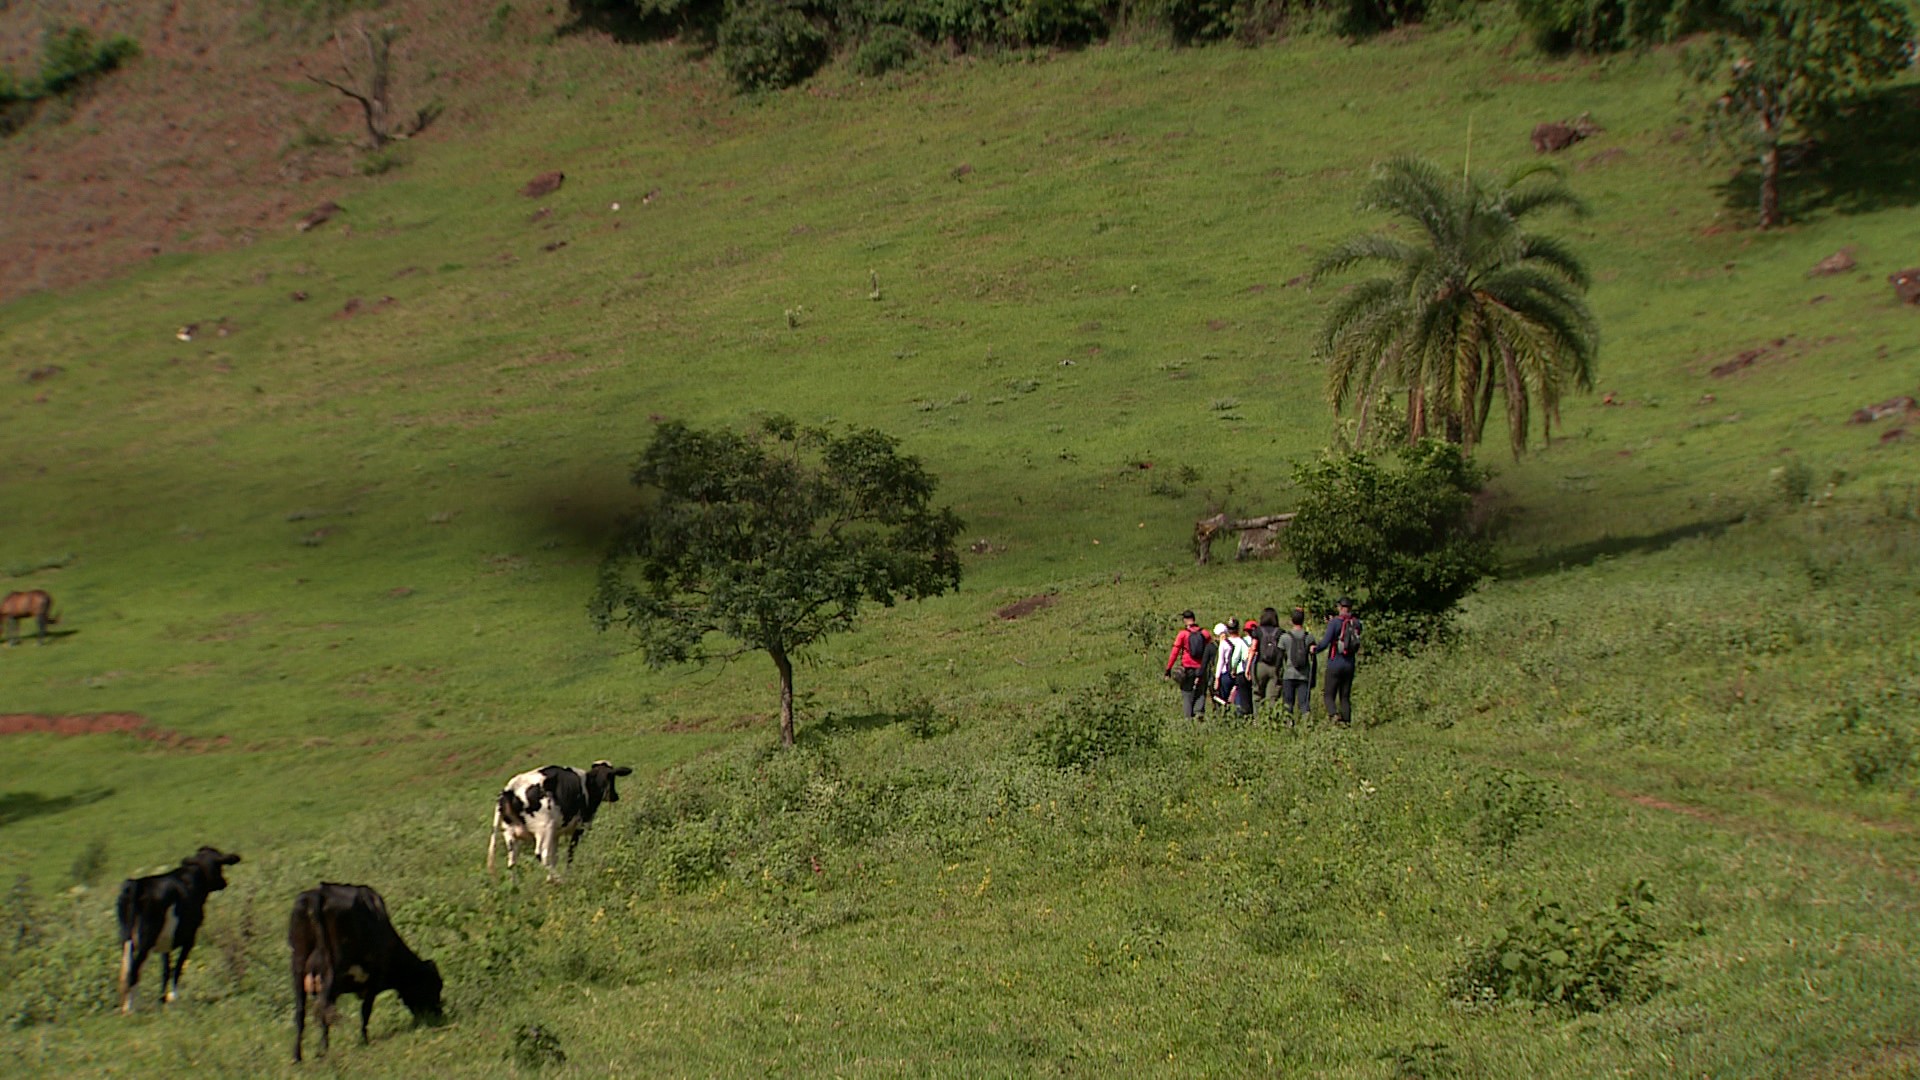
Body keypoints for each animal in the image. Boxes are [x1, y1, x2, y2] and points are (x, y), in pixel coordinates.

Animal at [115, 841, 240, 1006]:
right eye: (220, 865)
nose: (224, 883)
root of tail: (137, 884)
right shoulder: (190, 938)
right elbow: (178, 967)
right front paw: (174, 997)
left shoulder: (166, 942)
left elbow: (166, 970)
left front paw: (162, 1000)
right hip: (146, 940)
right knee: (133, 973)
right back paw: (132, 1009)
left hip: (127, 939)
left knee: (126, 971)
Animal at [286, 883, 443, 1060]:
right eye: (435, 986)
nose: (439, 1013)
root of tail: (319, 893)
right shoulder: (374, 981)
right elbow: (365, 1012)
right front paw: (365, 1041)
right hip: (332, 969)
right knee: (324, 1009)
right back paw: (323, 1051)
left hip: (298, 965)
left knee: (301, 1012)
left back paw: (297, 1057)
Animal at [483, 757, 633, 876]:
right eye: (612, 778)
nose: (615, 796)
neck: (589, 785)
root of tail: (509, 790)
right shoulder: (579, 827)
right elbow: (570, 852)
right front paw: (568, 874)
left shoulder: (556, 833)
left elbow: (555, 856)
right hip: (544, 828)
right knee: (541, 854)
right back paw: (558, 880)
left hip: (510, 835)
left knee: (512, 863)